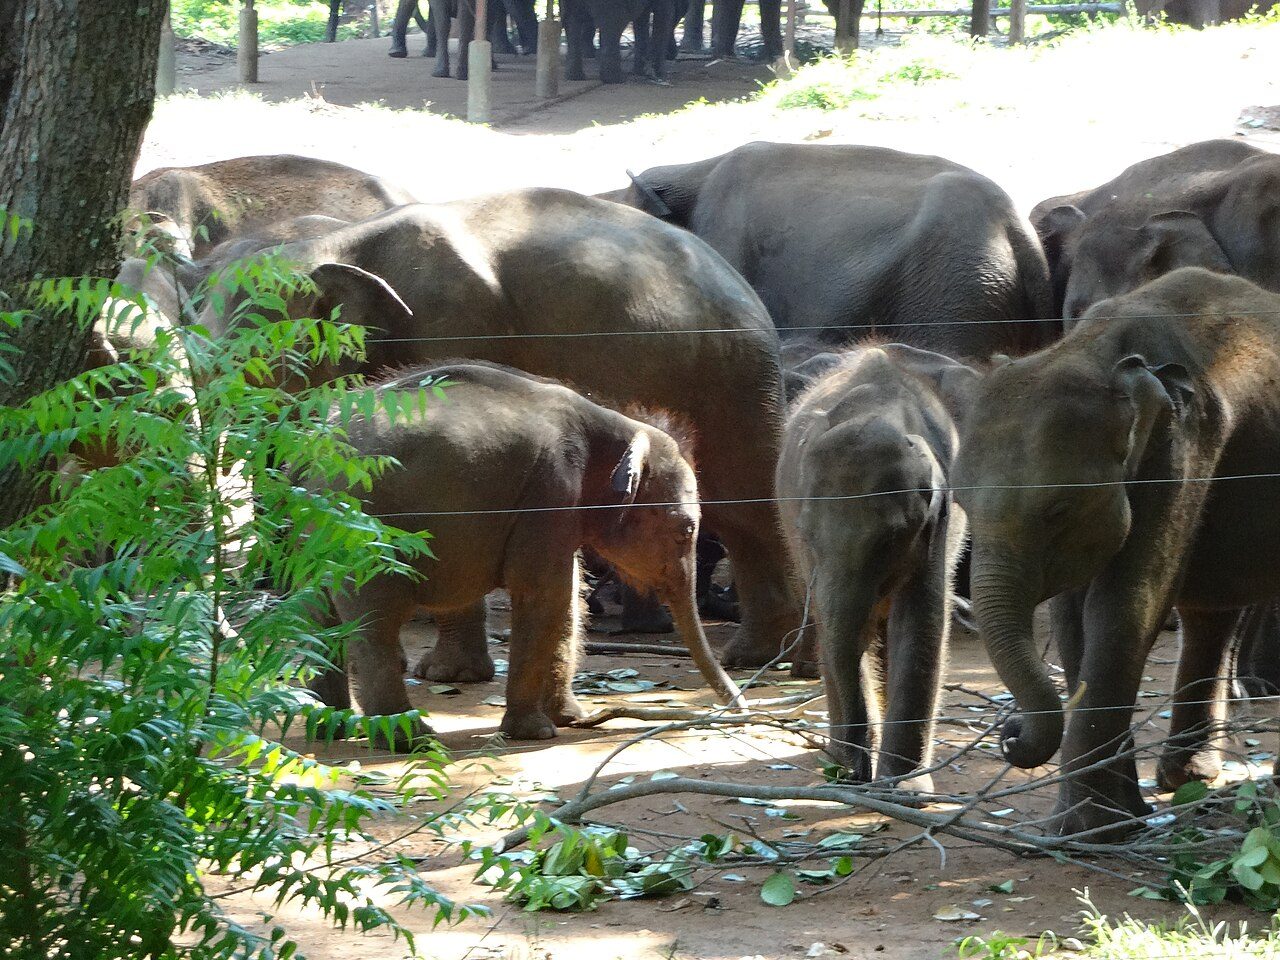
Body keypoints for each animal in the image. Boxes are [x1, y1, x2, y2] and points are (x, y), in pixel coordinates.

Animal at [200, 187, 802, 675]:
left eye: (240, 363)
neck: (338, 242)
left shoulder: (452, 321)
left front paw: (446, 676)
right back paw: (757, 656)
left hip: (734, 378)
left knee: (748, 501)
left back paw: (770, 659)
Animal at [308, 362, 745, 745]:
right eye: (685, 530)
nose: (738, 710)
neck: (615, 421)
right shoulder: (549, 491)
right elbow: (544, 596)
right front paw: (536, 733)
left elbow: (567, 601)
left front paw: (570, 717)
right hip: (361, 529)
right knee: (373, 623)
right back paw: (407, 739)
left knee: (315, 613)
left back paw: (331, 726)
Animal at [777, 344, 977, 787]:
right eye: (807, 534)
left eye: (890, 540)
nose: (855, 773)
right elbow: (833, 619)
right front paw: (852, 773)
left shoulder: (938, 523)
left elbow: (922, 615)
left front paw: (906, 786)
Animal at [953, 267, 1280, 838]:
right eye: (960, 501)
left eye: (1058, 509)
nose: (1010, 733)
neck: (1095, 352)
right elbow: (1071, 618)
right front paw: (1113, 822)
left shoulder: (1184, 446)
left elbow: (1125, 604)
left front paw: (1086, 830)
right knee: (1210, 612)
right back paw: (1186, 777)